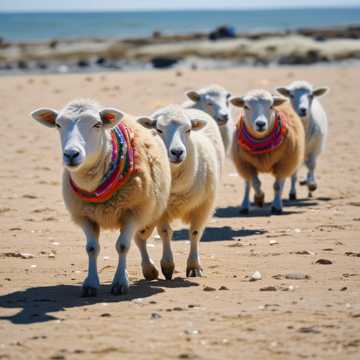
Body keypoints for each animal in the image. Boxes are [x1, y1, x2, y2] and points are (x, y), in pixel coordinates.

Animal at [31, 97, 172, 296]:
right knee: (140, 239)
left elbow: (123, 246)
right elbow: (91, 249)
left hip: (154, 208)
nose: (71, 154)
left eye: (97, 124)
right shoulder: (85, 216)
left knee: (159, 233)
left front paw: (120, 282)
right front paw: (90, 283)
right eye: (58, 124)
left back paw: (166, 265)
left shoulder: (133, 212)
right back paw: (149, 269)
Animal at [136, 104, 224, 278]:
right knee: (140, 237)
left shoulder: (203, 206)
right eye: (158, 130)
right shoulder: (161, 209)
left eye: (188, 130)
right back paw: (148, 268)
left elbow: (195, 233)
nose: (177, 152)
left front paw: (194, 266)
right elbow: (165, 232)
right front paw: (167, 265)